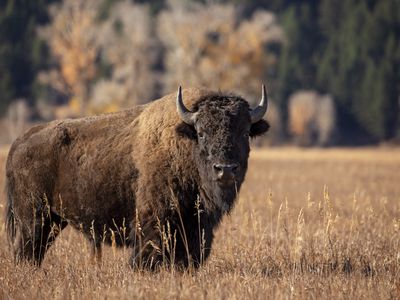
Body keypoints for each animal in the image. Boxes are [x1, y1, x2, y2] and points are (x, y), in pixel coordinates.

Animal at [4, 85, 268, 268]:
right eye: (202, 133)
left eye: (245, 132)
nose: (225, 169)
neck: (183, 143)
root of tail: (19, 141)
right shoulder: (153, 224)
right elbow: (147, 257)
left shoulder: (195, 228)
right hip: (34, 219)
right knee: (26, 252)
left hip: (53, 221)